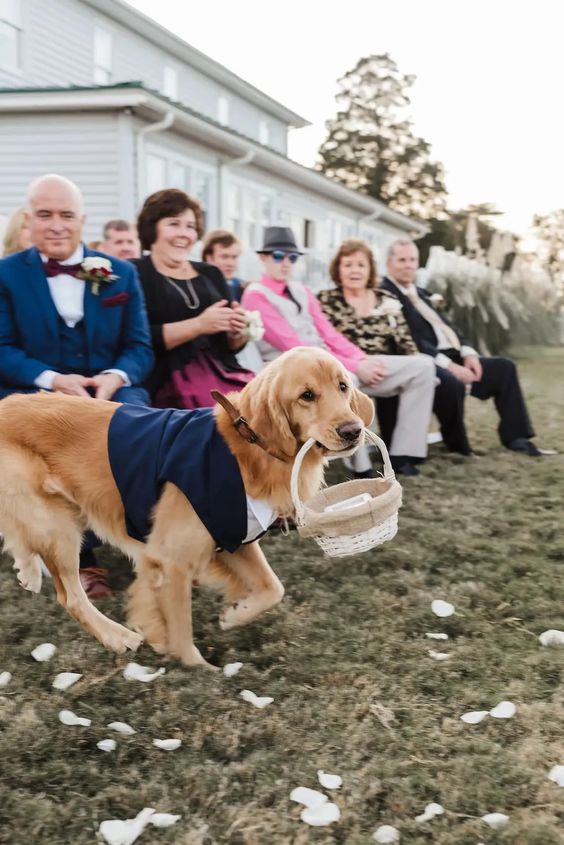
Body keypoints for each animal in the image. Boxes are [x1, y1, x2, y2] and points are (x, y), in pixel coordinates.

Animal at [0, 348, 374, 664]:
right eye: (306, 395)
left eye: (343, 386)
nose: (353, 431)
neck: (249, 446)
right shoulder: (172, 559)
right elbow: (180, 633)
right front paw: (198, 672)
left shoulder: (231, 534)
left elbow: (273, 587)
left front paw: (235, 613)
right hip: (56, 525)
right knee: (71, 596)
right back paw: (117, 637)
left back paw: (28, 573)